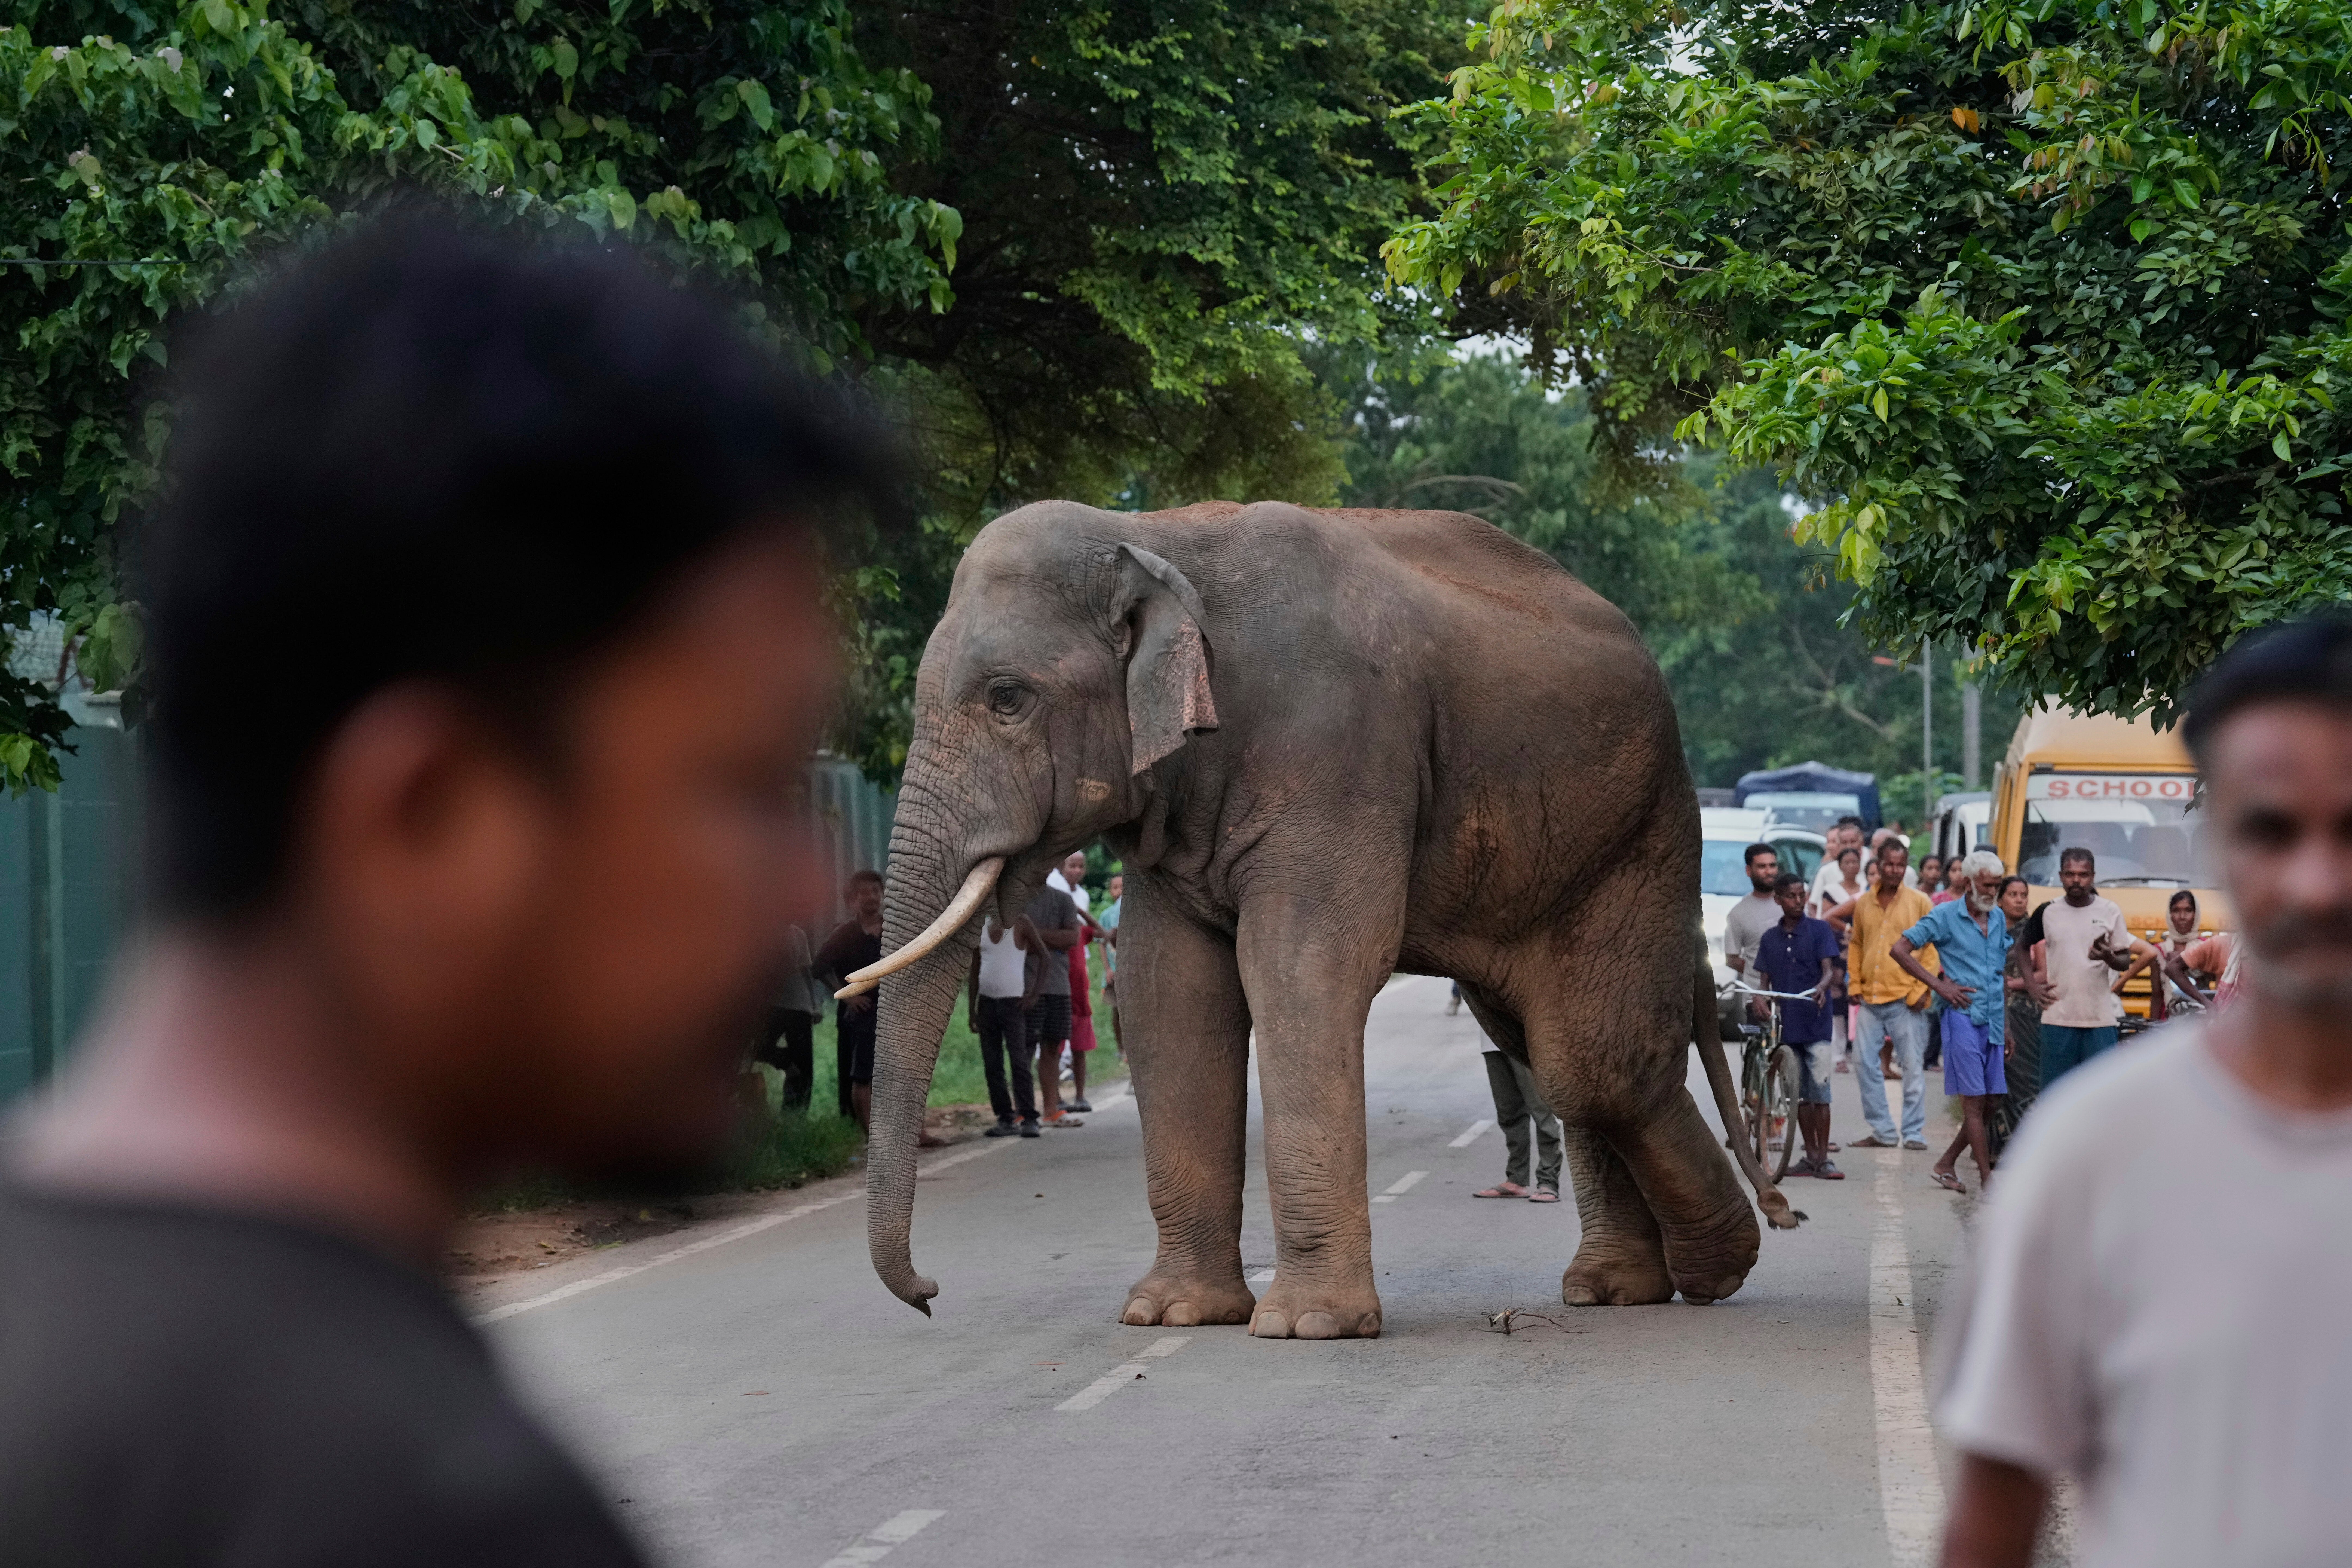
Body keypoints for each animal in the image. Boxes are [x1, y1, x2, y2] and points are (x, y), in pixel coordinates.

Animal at [847, 498, 1797, 1339]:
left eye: (1008, 698)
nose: (929, 1293)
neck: (1153, 535)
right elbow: (1168, 995)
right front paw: (1174, 1315)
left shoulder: (1336, 750)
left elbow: (1300, 969)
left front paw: (1307, 1326)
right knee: (1548, 1047)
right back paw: (1622, 1287)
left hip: (1638, 836)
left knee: (1591, 1062)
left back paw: (1718, 1268)